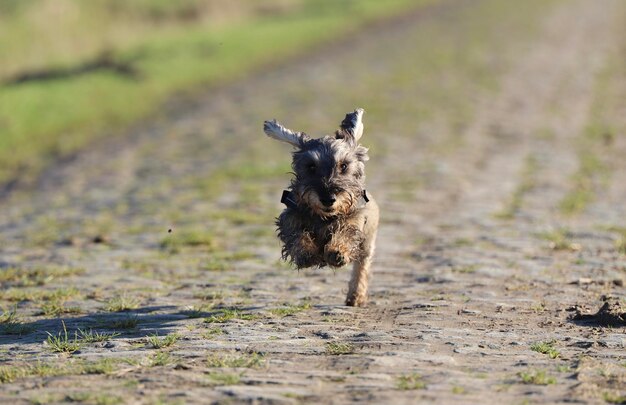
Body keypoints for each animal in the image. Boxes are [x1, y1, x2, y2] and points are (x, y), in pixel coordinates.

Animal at [262, 107, 378, 306]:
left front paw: (337, 251)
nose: (328, 199)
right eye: (311, 167)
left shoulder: (355, 219)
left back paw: (355, 296)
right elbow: (297, 234)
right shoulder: (290, 217)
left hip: (367, 244)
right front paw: (306, 252)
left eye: (344, 166)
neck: (323, 216)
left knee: (361, 266)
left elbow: (345, 232)